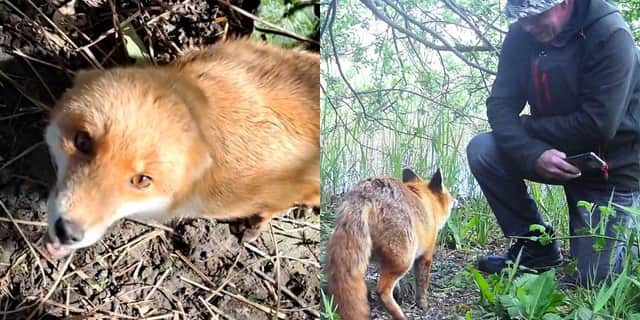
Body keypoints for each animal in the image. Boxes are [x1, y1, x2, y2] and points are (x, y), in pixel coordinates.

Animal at [324, 169, 456, 318]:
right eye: (449, 196)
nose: (456, 201)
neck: (426, 202)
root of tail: (365, 195)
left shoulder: (384, 260)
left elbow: (397, 285)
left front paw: (399, 295)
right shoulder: (426, 255)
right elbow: (422, 284)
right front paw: (422, 304)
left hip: (362, 258)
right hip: (404, 259)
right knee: (382, 290)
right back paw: (399, 315)